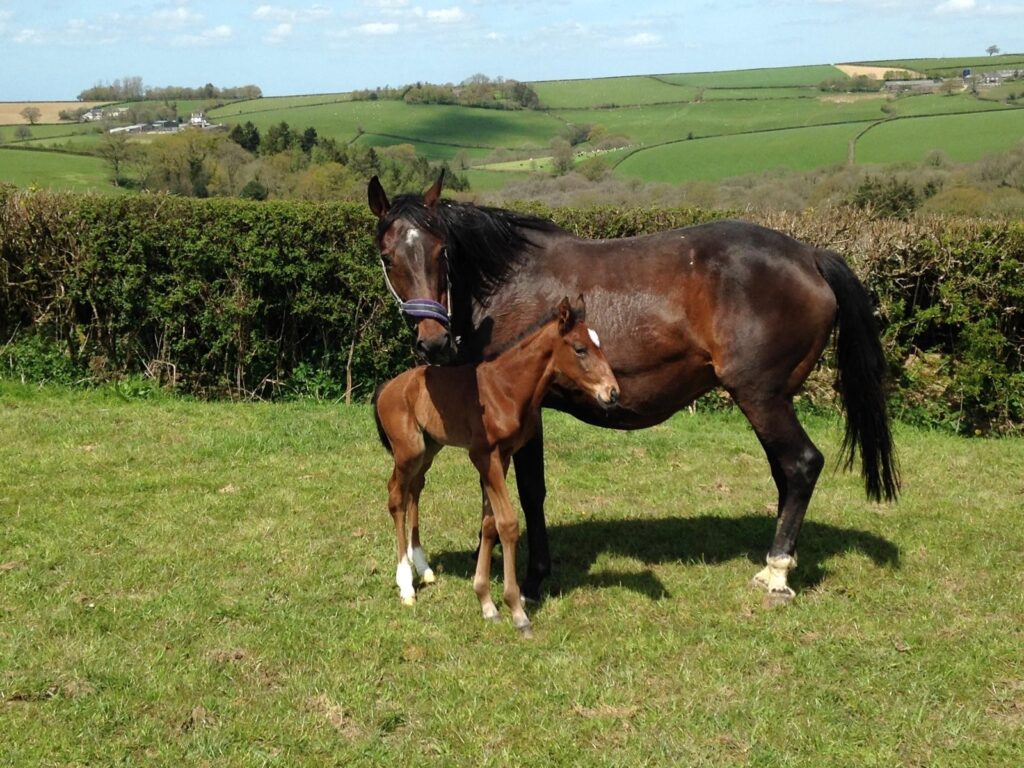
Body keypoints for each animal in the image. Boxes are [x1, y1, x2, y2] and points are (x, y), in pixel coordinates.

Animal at [374, 296, 618, 634]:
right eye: (580, 349)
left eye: (600, 345)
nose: (612, 392)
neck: (507, 387)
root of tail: (387, 387)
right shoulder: (484, 455)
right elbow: (508, 524)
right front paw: (516, 609)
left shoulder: (501, 456)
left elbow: (490, 523)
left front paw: (486, 602)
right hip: (408, 450)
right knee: (396, 496)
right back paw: (406, 584)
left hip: (429, 449)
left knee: (414, 490)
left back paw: (423, 568)